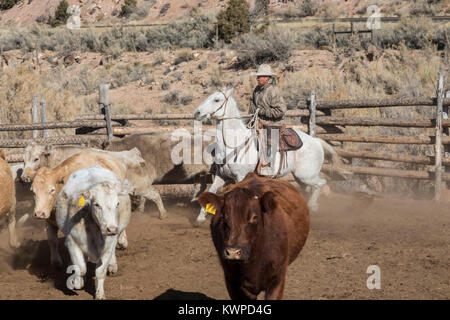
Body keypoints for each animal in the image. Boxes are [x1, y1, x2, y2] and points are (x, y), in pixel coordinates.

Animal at [55, 165, 131, 300]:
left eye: (117, 203)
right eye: (97, 204)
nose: (111, 229)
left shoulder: (109, 246)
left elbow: (100, 272)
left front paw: (100, 294)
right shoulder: (73, 242)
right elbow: (81, 269)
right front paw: (77, 282)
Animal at [192, 87, 344, 222]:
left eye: (216, 99)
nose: (197, 112)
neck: (233, 144)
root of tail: (316, 141)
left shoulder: (241, 177)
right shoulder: (221, 176)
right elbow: (210, 192)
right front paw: (200, 217)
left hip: (306, 175)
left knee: (321, 183)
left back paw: (312, 206)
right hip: (301, 177)